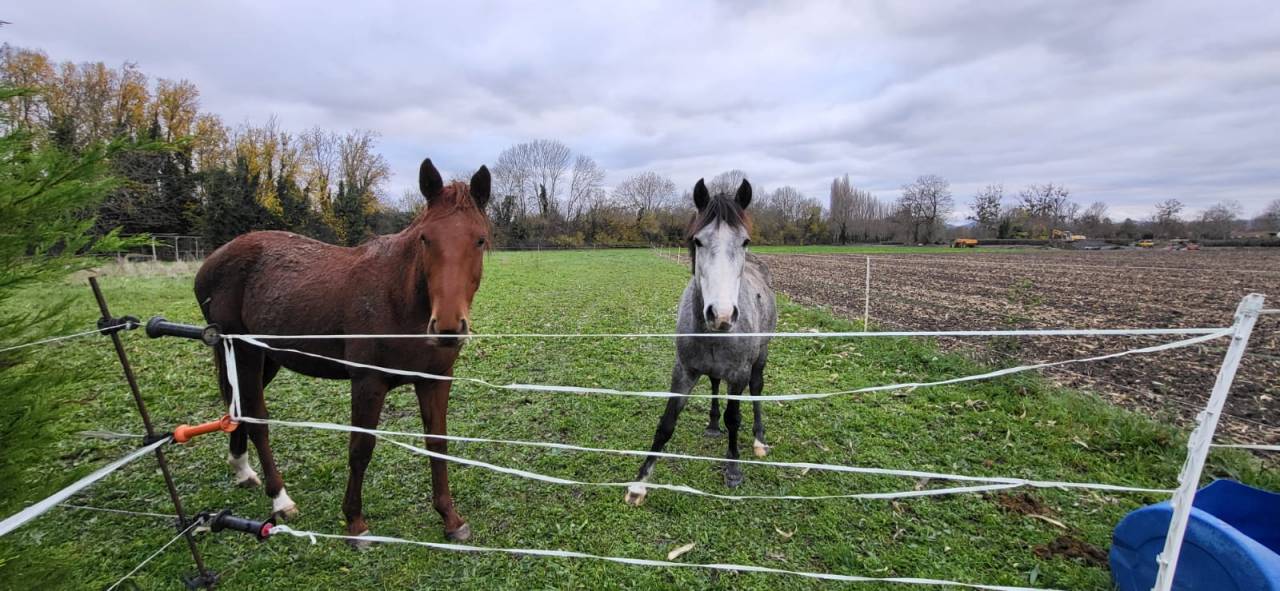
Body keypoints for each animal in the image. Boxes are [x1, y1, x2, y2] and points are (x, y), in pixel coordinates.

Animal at [194, 158, 490, 544]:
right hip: (245, 352)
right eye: (426, 238)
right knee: (257, 417)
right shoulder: (367, 382)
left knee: (238, 405)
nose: (448, 328)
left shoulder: (435, 380)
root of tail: (212, 262)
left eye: (480, 240)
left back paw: (242, 470)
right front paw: (355, 523)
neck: (399, 299)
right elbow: (360, 449)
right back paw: (280, 498)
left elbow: (437, 444)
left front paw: (451, 519)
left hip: (265, 359)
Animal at [624, 178, 777, 506]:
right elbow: (666, 423)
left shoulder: (739, 375)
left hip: (761, 355)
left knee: (757, 390)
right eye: (698, 241)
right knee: (715, 383)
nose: (721, 314)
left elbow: (735, 418)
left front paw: (733, 470)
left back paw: (759, 440)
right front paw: (639, 483)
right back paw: (712, 425)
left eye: (744, 241)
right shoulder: (683, 371)